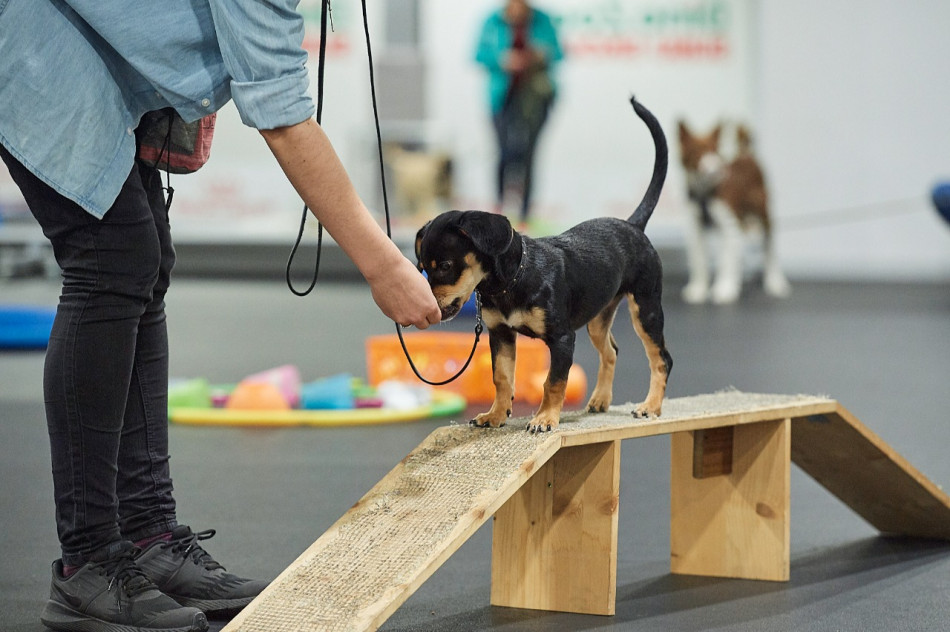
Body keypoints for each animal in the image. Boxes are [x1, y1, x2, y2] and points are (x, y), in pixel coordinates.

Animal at [414, 97, 668, 434]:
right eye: (422, 268)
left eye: (444, 265)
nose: (429, 306)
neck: (514, 280)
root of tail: (633, 225)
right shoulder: (501, 334)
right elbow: (502, 377)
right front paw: (496, 415)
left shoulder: (562, 339)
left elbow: (553, 382)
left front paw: (545, 419)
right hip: (598, 318)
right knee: (611, 351)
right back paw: (601, 400)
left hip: (646, 310)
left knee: (661, 358)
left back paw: (650, 406)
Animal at [680, 122, 792, 304]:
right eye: (696, 151)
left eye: (715, 150)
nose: (714, 169)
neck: (706, 191)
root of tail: (746, 155)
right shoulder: (695, 227)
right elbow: (699, 260)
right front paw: (698, 289)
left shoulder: (729, 226)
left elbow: (727, 260)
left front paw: (725, 288)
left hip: (763, 214)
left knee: (769, 247)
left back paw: (775, 282)